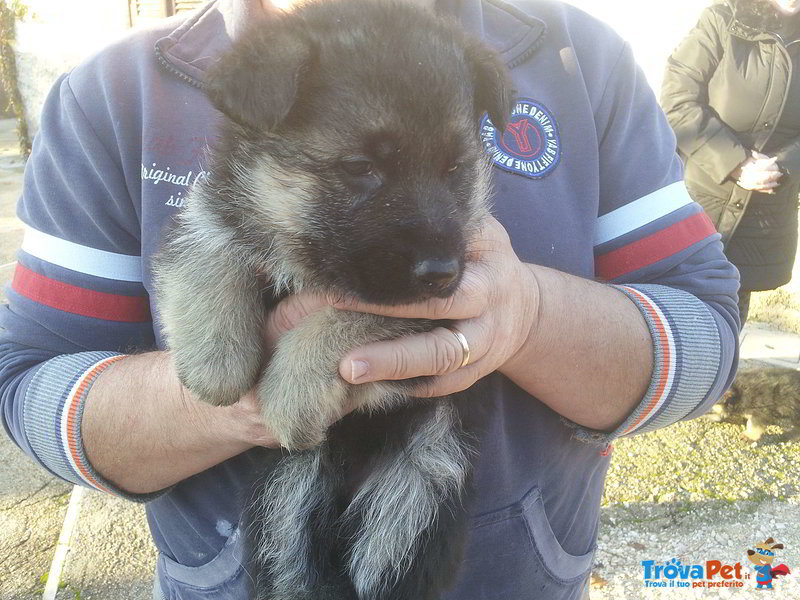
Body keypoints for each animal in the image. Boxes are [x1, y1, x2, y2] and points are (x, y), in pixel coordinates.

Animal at [152, 2, 512, 596]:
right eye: (362, 168)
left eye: (455, 169)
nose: (441, 274)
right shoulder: (215, 207)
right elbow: (208, 247)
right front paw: (215, 361)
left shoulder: (439, 312)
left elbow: (345, 315)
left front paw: (291, 391)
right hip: (289, 502)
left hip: (419, 483)